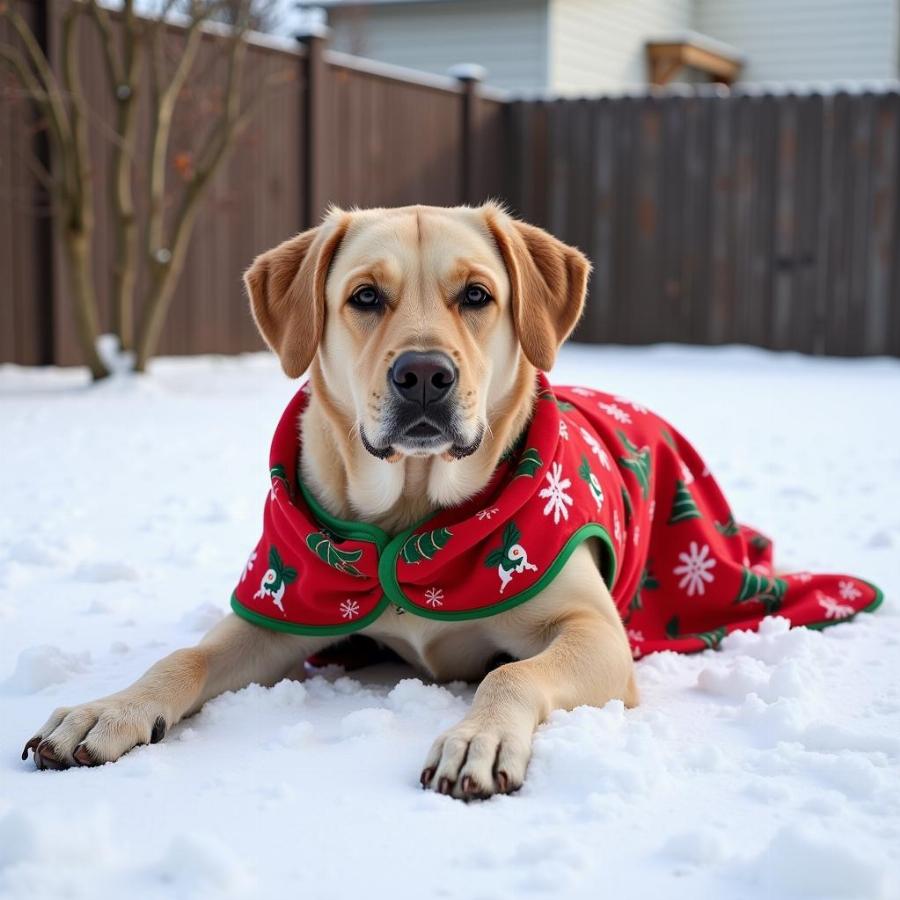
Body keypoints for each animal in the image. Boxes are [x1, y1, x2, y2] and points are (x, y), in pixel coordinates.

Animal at [21, 202, 880, 796]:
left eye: (476, 295)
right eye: (365, 297)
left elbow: (511, 675)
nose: (425, 374)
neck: (412, 513)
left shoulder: (596, 632)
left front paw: (479, 739)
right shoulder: (281, 609)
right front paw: (108, 709)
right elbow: (184, 656)